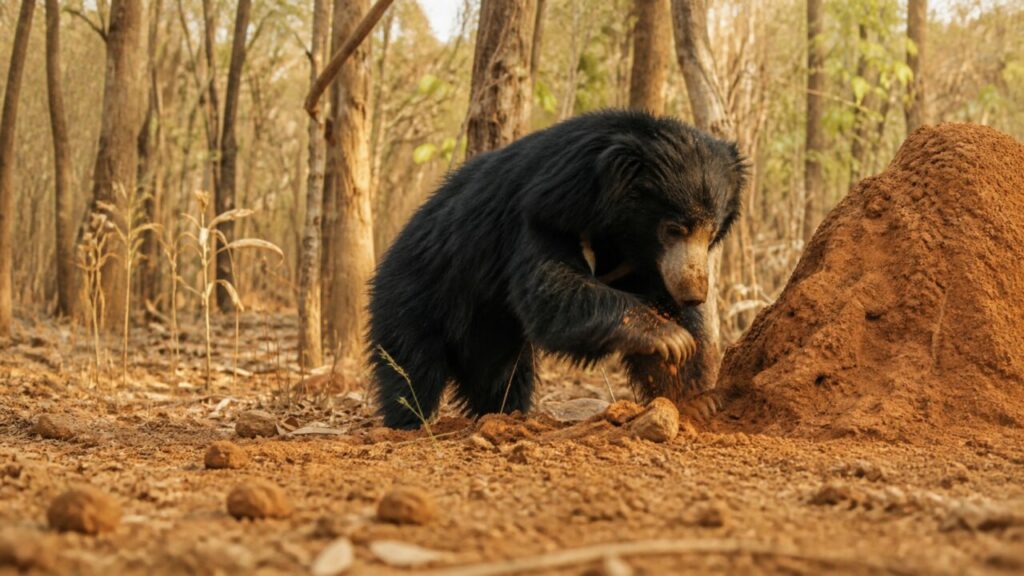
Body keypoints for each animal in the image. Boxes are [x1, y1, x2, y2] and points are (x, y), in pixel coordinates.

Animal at [368, 110, 746, 429]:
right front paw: (669, 336)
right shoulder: (542, 214)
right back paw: (409, 423)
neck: (621, 231)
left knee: (502, 377)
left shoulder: (644, 263)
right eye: (673, 229)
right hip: (414, 296)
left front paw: (697, 397)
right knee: (411, 368)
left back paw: (501, 413)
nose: (694, 295)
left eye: (711, 232)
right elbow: (553, 291)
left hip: (490, 335)